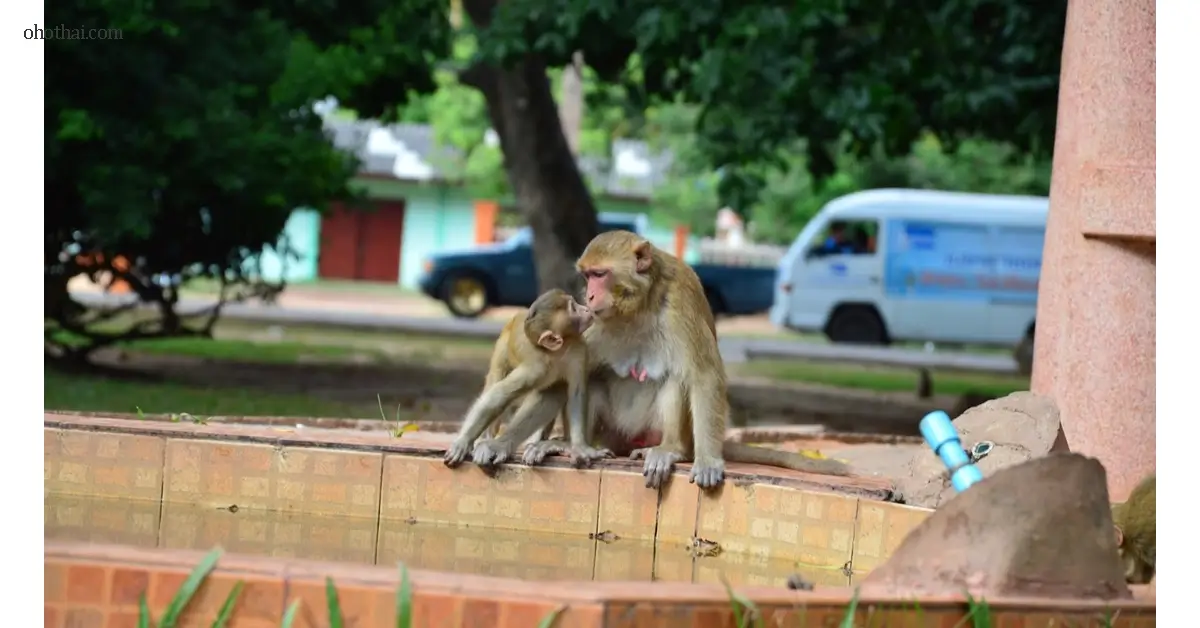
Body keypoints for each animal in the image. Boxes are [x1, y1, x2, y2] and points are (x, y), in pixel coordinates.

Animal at [442, 289, 612, 469]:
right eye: (573, 308)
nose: (586, 309)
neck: (556, 353)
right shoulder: (535, 369)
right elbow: (498, 396)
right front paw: (462, 442)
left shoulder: (578, 351)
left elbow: (576, 394)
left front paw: (580, 447)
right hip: (502, 346)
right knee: (498, 379)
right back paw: (492, 442)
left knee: (554, 390)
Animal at [504, 230, 852, 490]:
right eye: (587, 276)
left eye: (600, 275)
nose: (588, 296)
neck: (639, 304)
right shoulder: (594, 321)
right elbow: (571, 374)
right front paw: (554, 442)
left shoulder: (679, 302)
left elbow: (704, 375)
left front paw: (708, 460)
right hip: (613, 434)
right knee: (596, 381)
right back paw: (577, 444)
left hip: (670, 432)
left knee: (674, 382)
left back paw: (670, 451)